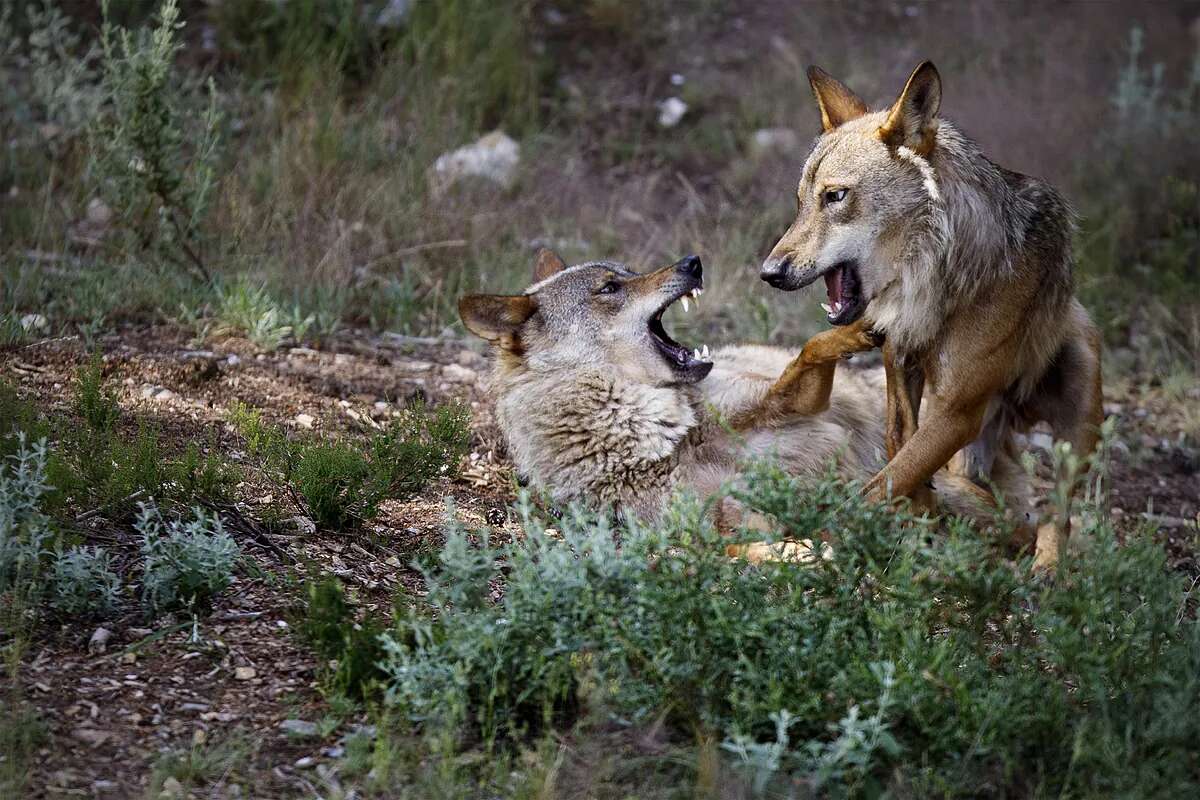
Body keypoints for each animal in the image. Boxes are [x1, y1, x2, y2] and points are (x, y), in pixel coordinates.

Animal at [453, 248, 1027, 532]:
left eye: (628, 272)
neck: (668, 438)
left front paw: (862, 327)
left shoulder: (790, 400)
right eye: (610, 288)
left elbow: (812, 345)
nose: (692, 262)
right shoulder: (732, 521)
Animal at [763, 61, 1099, 568]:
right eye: (800, 202)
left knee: (1058, 517)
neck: (935, 278)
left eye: (835, 197)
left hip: (1080, 400)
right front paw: (922, 507)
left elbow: (879, 486)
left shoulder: (958, 411)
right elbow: (898, 446)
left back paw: (1045, 569)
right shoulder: (900, 358)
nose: (769, 272)